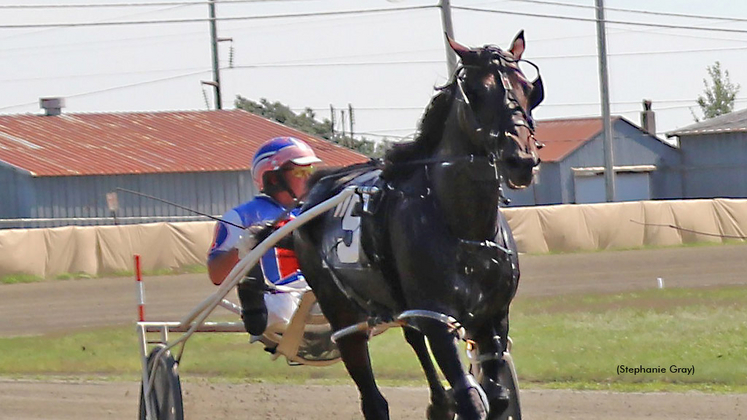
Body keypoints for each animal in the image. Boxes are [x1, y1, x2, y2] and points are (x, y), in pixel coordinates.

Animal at [296, 30, 548, 420]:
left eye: (528, 88)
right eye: (474, 92)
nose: (520, 160)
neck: (465, 229)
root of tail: (317, 186)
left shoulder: (491, 318)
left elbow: (498, 397)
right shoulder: (436, 318)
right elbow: (470, 399)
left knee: (413, 339)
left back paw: (438, 403)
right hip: (341, 311)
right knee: (370, 391)